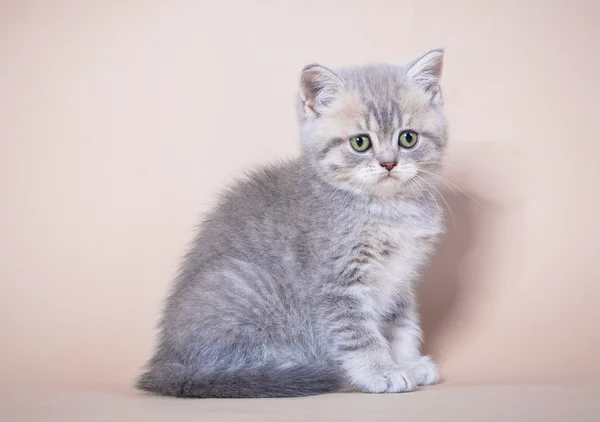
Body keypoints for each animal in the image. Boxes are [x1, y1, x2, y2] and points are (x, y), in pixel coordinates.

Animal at [135, 49, 446, 398]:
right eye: (360, 143)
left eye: (408, 138)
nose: (389, 163)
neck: (388, 209)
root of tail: (164, 359)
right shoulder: (335, 283)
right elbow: (358, 333)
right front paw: (381, 371)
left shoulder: (400, 279)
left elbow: (401, 326)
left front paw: (407, 363)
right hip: (251, 286)